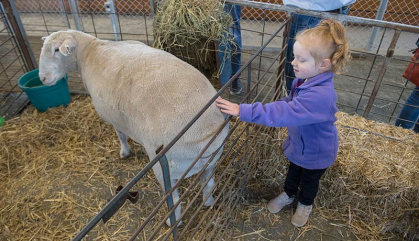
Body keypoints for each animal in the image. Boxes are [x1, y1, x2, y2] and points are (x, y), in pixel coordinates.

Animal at [38, 29, 230, 226]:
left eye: (56, 50)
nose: (42, 78)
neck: (90, 51)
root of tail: (206, 131)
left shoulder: (113, 116)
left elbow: (121, 135)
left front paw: (124, 152)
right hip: (211, 160)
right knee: (208, 183)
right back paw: (208, 202)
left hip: (166, 168)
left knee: (174, 200)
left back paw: (172, 222)